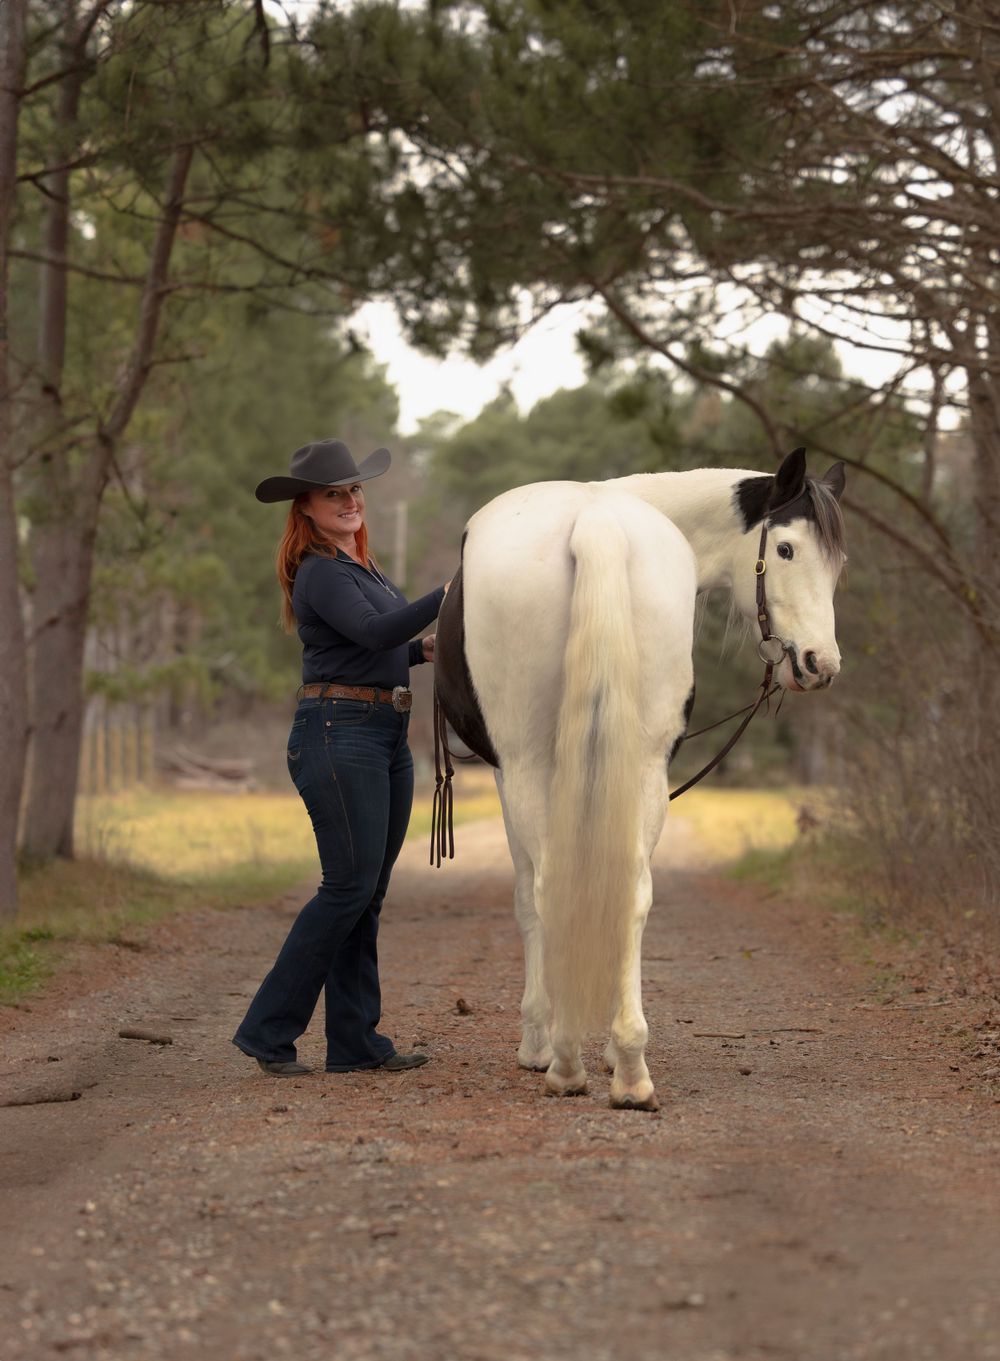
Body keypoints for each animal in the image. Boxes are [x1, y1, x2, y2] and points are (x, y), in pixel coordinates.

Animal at [434, 448, 846, 1110]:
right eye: (785, 549)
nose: (820, 664)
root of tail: (595, 522)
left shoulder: (508, 774)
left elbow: (527, 901)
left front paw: (538, 1040)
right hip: (646, 766)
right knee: (631, 889)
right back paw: (629, 1067)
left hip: (528, 764)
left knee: (549, 889)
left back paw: (565, 1060)